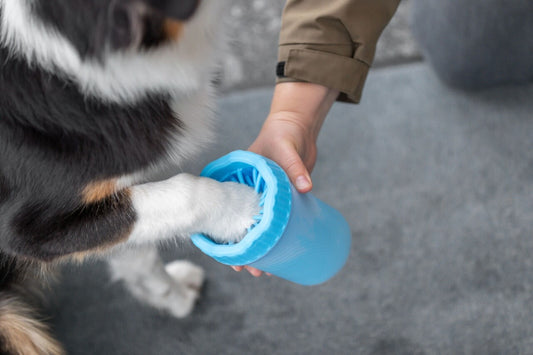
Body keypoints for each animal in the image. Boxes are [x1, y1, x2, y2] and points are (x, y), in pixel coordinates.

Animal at [0, 1, 258, 354]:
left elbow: (138, 255)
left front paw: (173, 294)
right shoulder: (26, 231)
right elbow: (185, 194)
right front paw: (243, 208)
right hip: (13, 321)